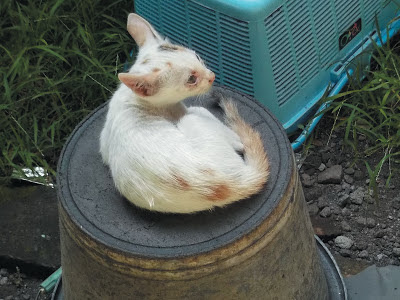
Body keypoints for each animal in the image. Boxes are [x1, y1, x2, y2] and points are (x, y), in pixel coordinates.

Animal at [99, 13, 268, 213]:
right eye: (191, 79)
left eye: (196, 56)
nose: (212, 76)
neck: (132, 98)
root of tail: (239, 181)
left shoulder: (103, 142)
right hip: (192, 119)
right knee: (234, 138)